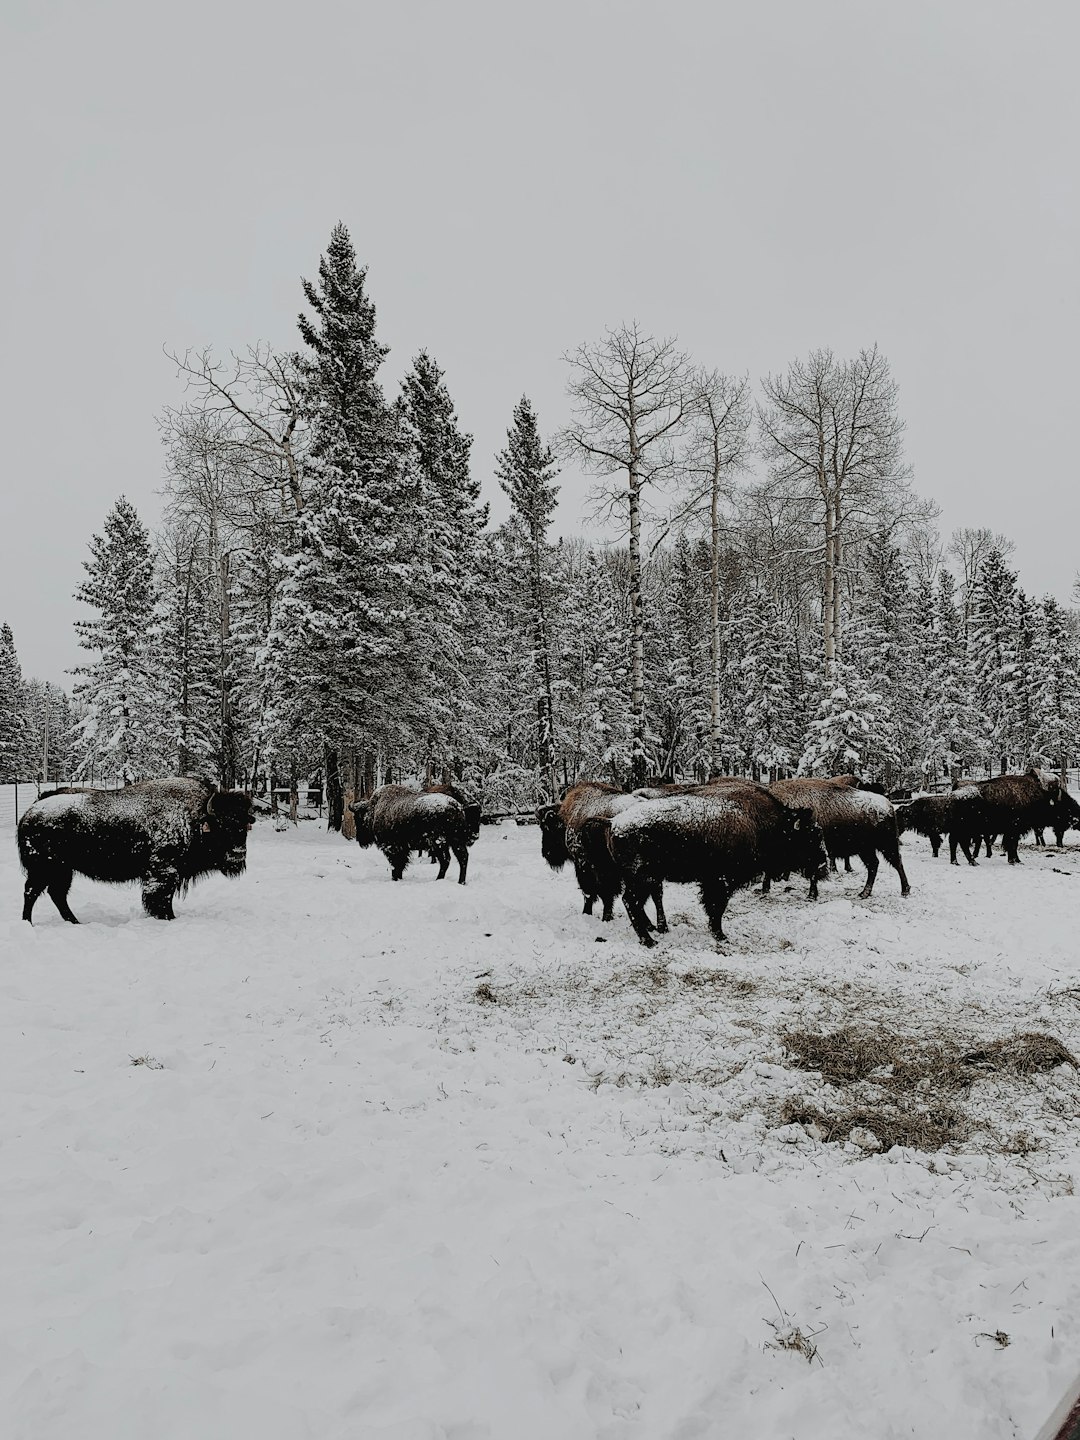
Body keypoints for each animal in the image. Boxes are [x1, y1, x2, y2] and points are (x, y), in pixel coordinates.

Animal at [18, 777, 254, 921]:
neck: (195, 818)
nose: (238, 853)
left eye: (244, 826)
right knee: (32, 893)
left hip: (63, 871)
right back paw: (28, 923)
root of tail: (32, 811)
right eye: (222, 826)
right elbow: (161, 900)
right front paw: (168, 918)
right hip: (44, 869)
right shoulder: (163, 874)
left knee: (56, 894)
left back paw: (75, 922)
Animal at [601, 789, 829, 944]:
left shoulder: (713, 881)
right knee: (630, 901)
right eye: (812, 835)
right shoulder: (723, 881)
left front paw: (716, 931)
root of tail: (614, 822)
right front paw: (720, 935)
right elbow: (717, 907)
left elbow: (713, 907)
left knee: (637, 903)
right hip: (642, 878)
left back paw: (654, 932)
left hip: (647, 878)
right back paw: (648, 941)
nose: (823, 865)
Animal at [771, 777, 915, 898]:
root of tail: (888, 806)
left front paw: (811, 894)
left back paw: (904, 890)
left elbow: (813, 873)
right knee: (875, 864)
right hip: (866, 849)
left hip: (886, 845)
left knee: (896, 863)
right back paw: (865, 893)